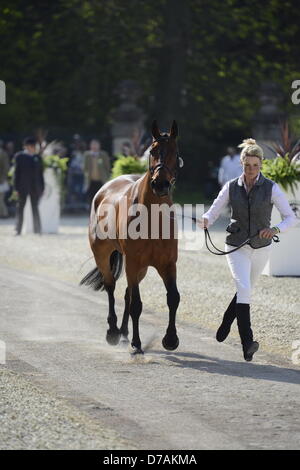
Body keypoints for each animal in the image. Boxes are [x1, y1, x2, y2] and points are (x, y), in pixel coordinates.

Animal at [81, 119, 182, 354]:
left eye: (175, 152)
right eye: (153, 151)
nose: (160, 184)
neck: (152, 216)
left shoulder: (167, 263)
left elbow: (173, 298)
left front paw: (170, 339)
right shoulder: (134, 262)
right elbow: (136, 304)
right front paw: (137, 344)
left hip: (140, 268)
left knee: (127, 292)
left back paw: (124, 332)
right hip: (104, 255)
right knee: (111, 286)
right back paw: (113, 332)